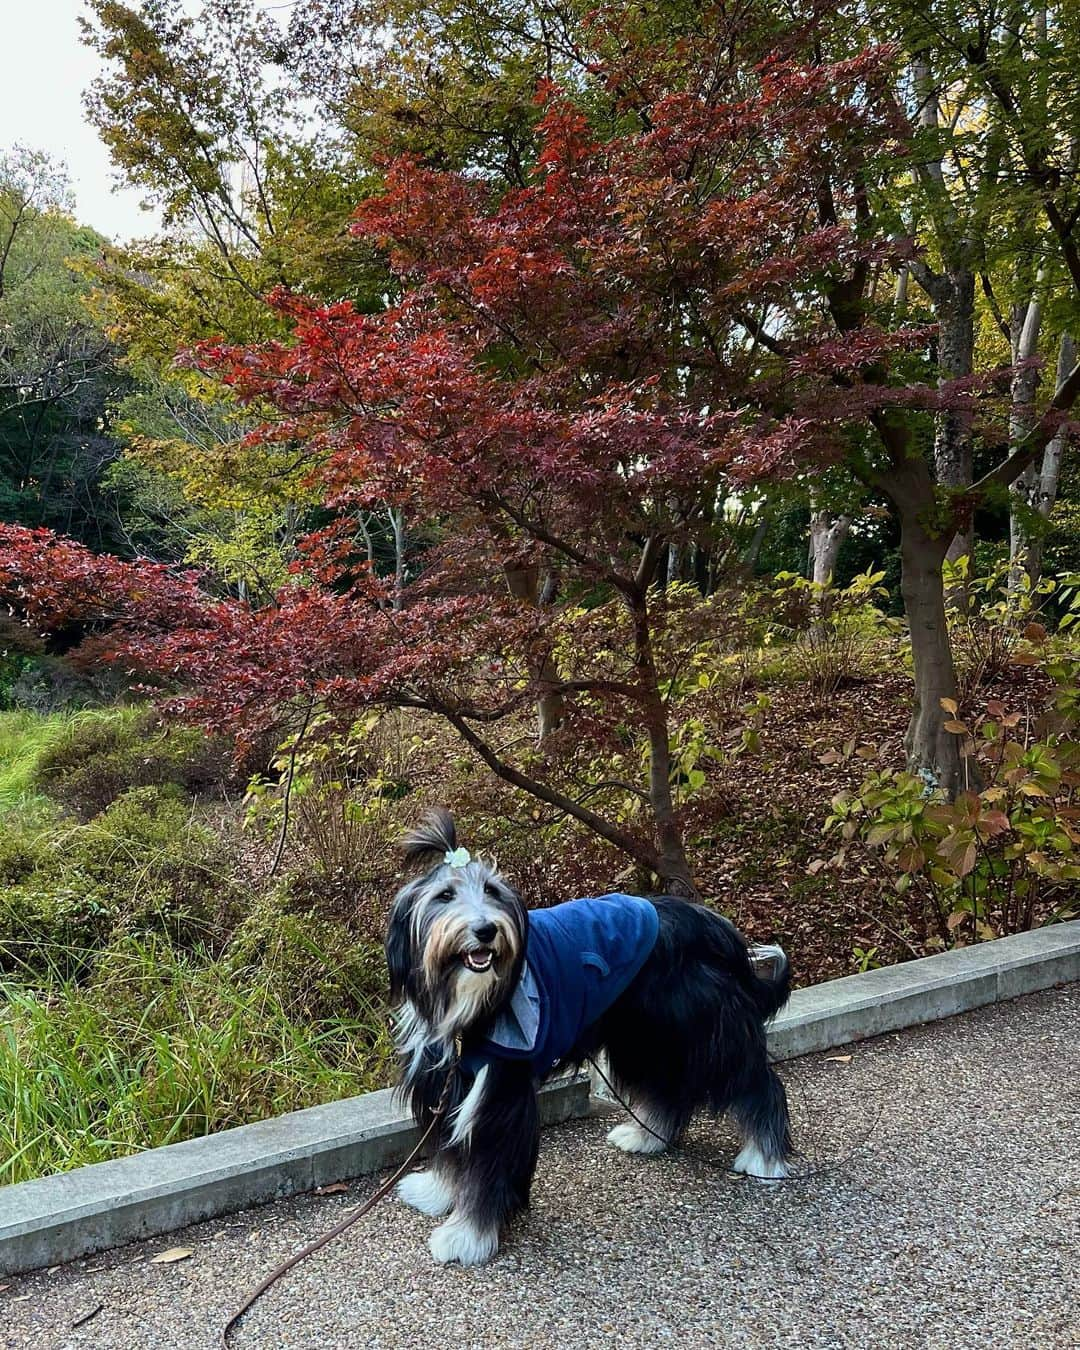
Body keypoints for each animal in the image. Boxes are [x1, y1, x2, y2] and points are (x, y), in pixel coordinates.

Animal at [383, 810, 788, 1263]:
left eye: (491, 891)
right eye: (444, 896)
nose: (485, 930)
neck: (467, 1003)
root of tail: (717, 925)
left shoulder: (500, 1087)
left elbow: (487, 1161)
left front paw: (467, 1235)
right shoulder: (448, 1079)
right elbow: (450, 1149)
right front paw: (437, 1192)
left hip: (701, 1033)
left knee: (755, 1083)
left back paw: (765, 1157)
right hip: (646, 1038)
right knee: (667, 1088)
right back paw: (646, 1135)